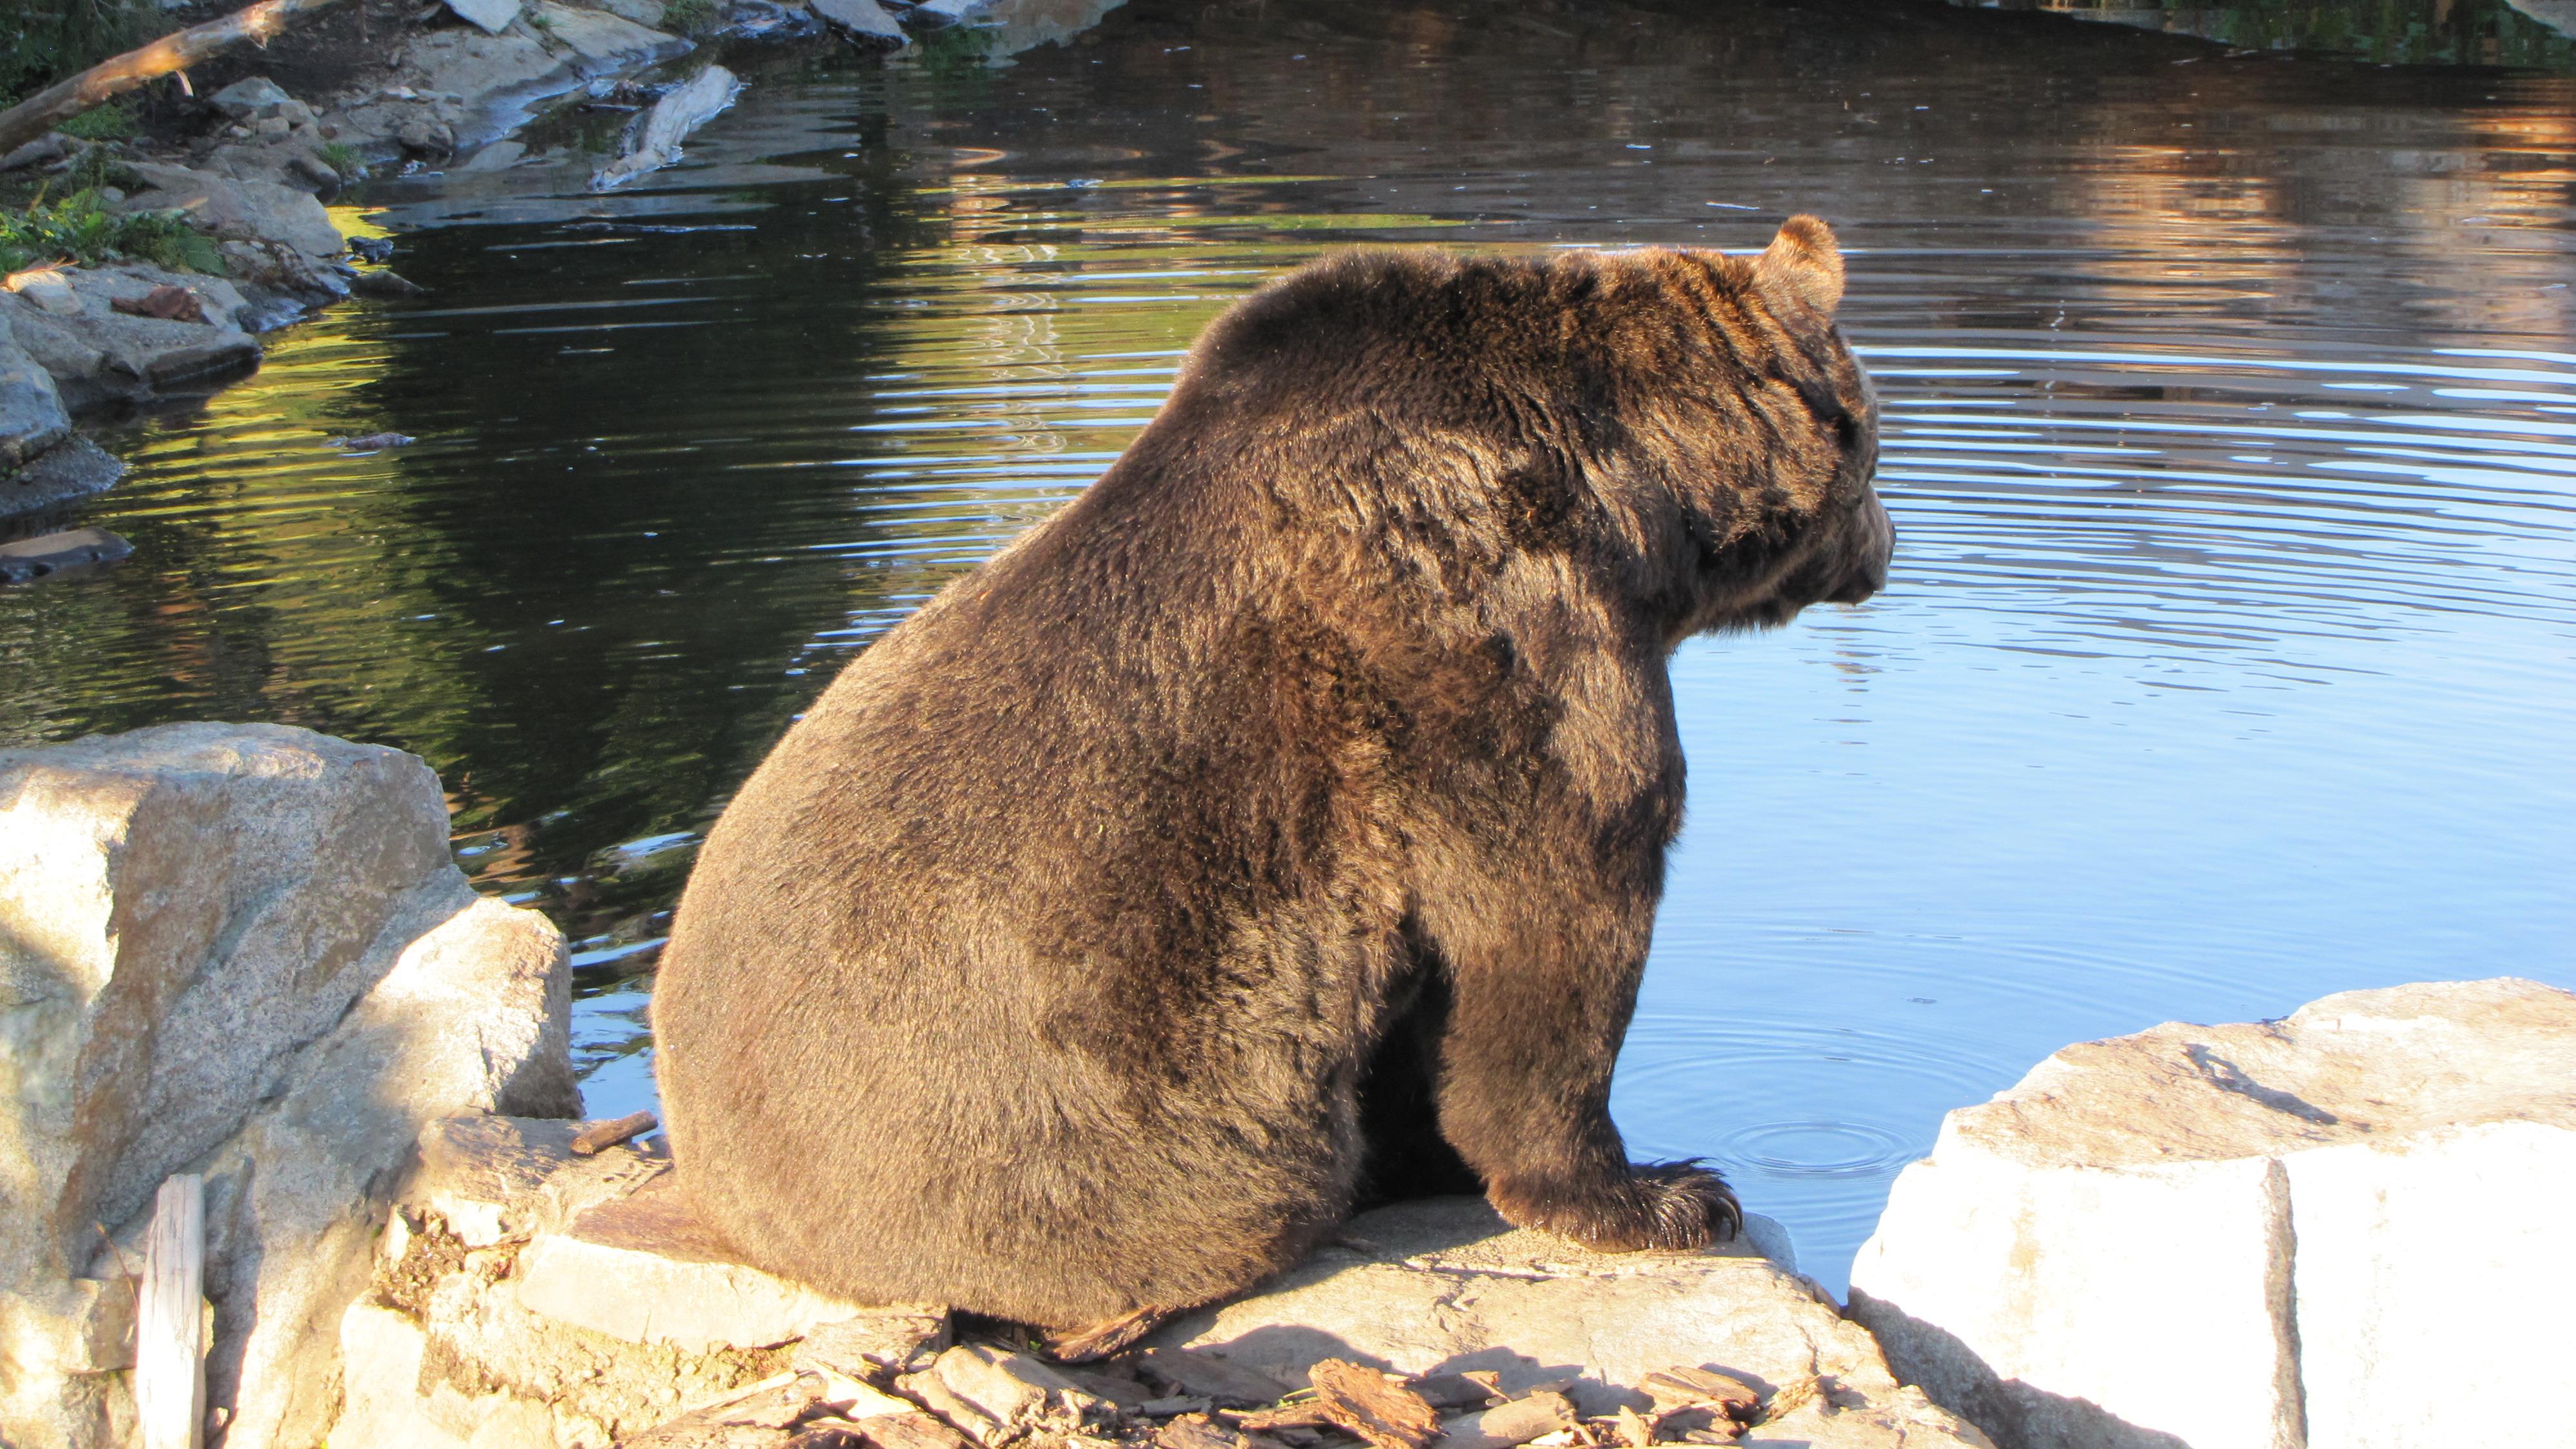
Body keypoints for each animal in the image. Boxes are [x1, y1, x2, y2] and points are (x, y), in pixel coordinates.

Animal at [649, 216, 1896, 1350]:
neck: (1635, 506)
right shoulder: (1490, 632)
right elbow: (1555, 908)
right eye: (1878, 447)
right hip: (1057, 1167)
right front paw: (1663, 1193)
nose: (1887, 547)